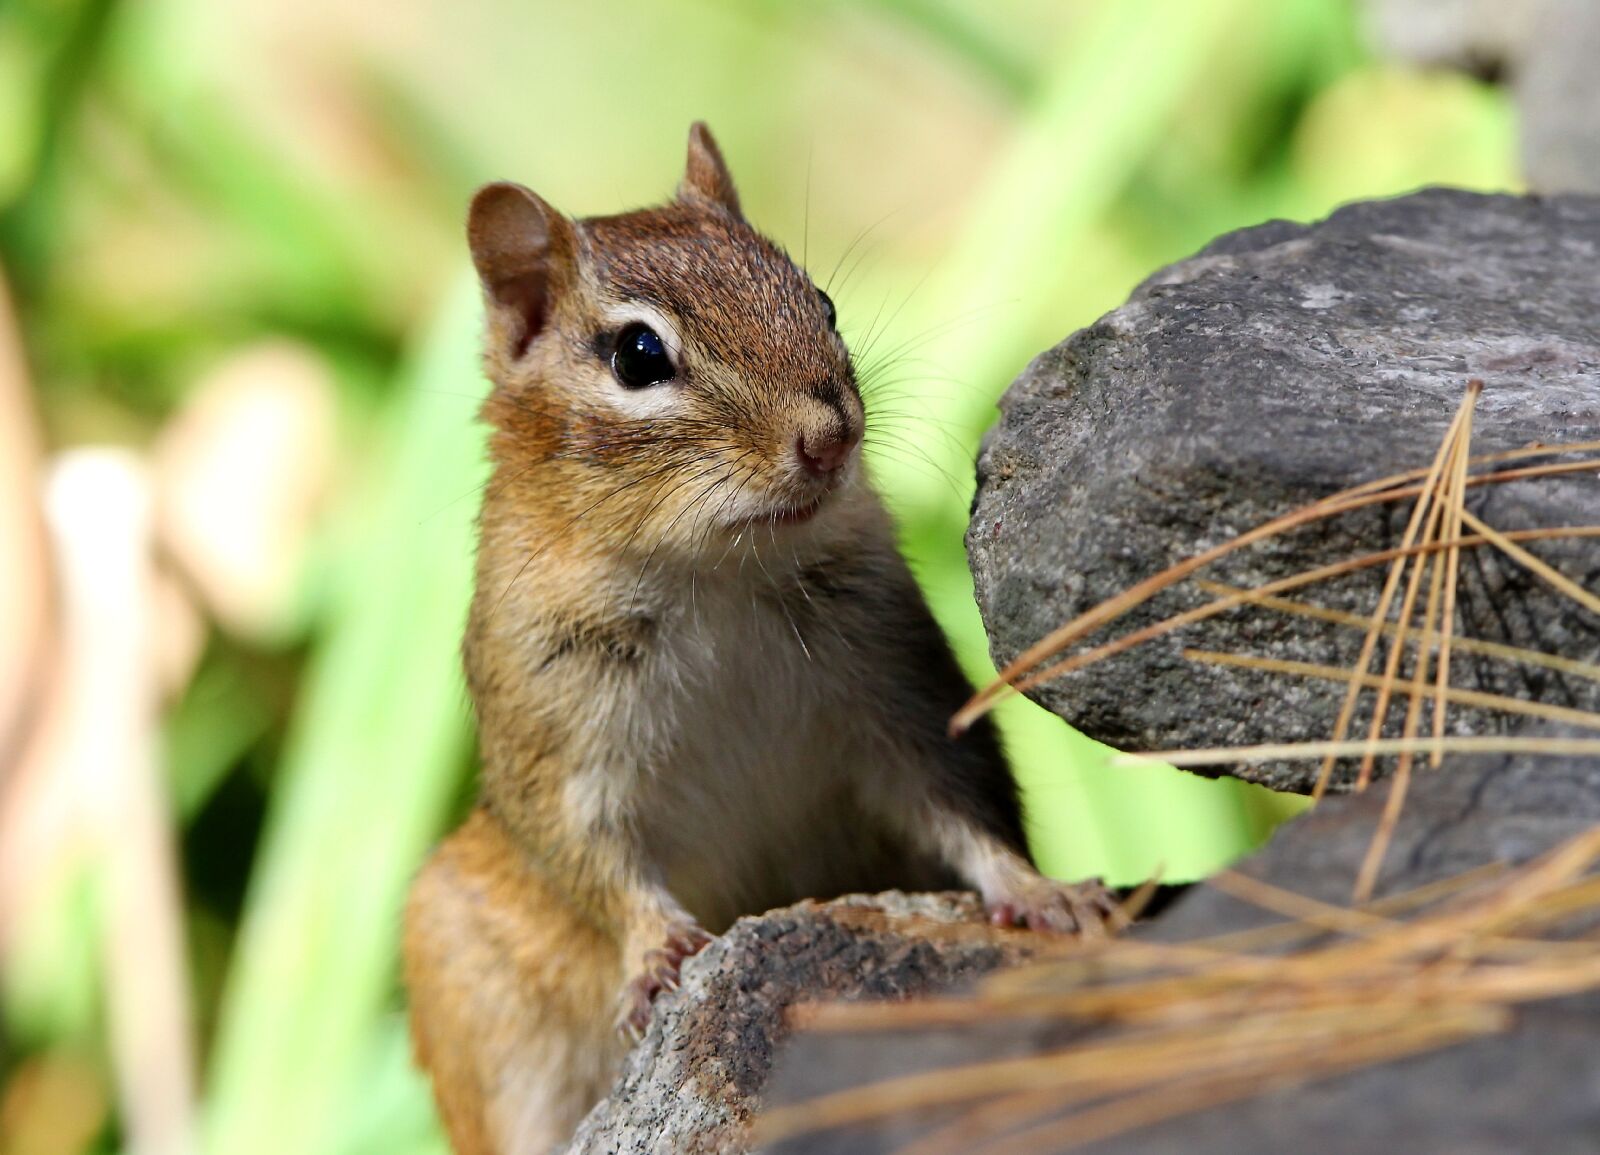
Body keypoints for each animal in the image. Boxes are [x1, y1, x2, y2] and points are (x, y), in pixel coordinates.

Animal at [401, 123, 1117, 1155]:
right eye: (637, 355)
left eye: (820, 300)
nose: (830, 434)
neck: (714, 581)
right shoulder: (553, 731)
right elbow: (585, 852)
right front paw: (656, 949)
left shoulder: (897, 687)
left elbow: (961, 801)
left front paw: (1038, 889)